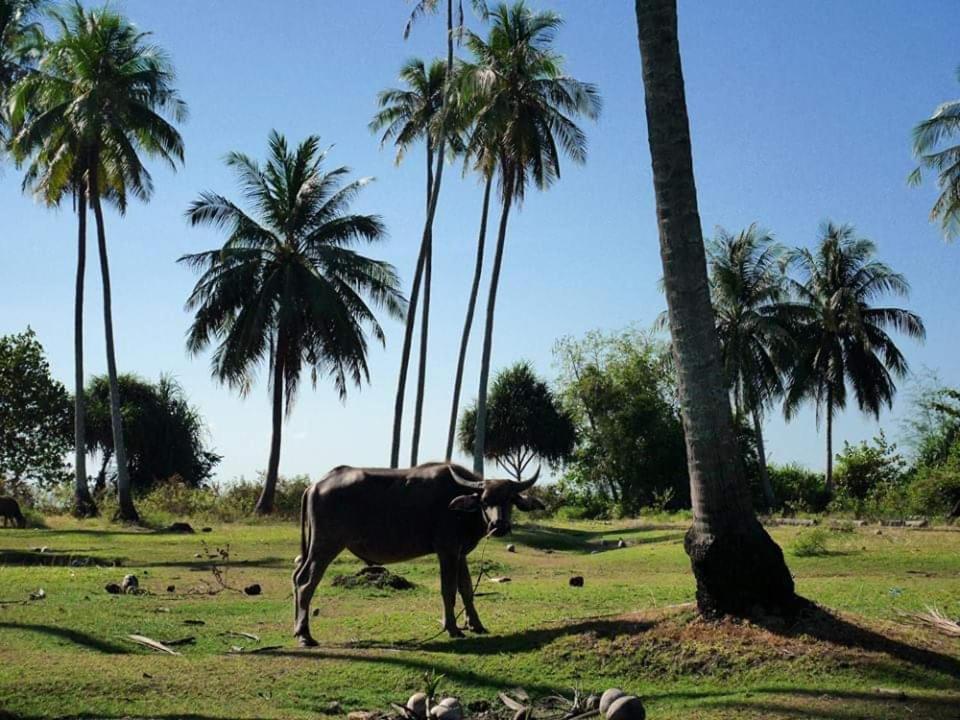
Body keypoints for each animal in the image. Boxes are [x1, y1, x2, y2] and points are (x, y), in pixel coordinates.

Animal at [292, 464, 544, 644]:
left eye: (509, 499)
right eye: (484, 500)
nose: (498, 525)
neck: (461, 509)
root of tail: (315, 485)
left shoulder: (460, 553)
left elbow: (466, 589)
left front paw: (476, 624)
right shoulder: (447, 551)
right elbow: (448, 590)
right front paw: (452, 628)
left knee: (296, 577)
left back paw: (297, 629)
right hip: (325, 546)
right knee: (306, 582)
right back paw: (305, 635)